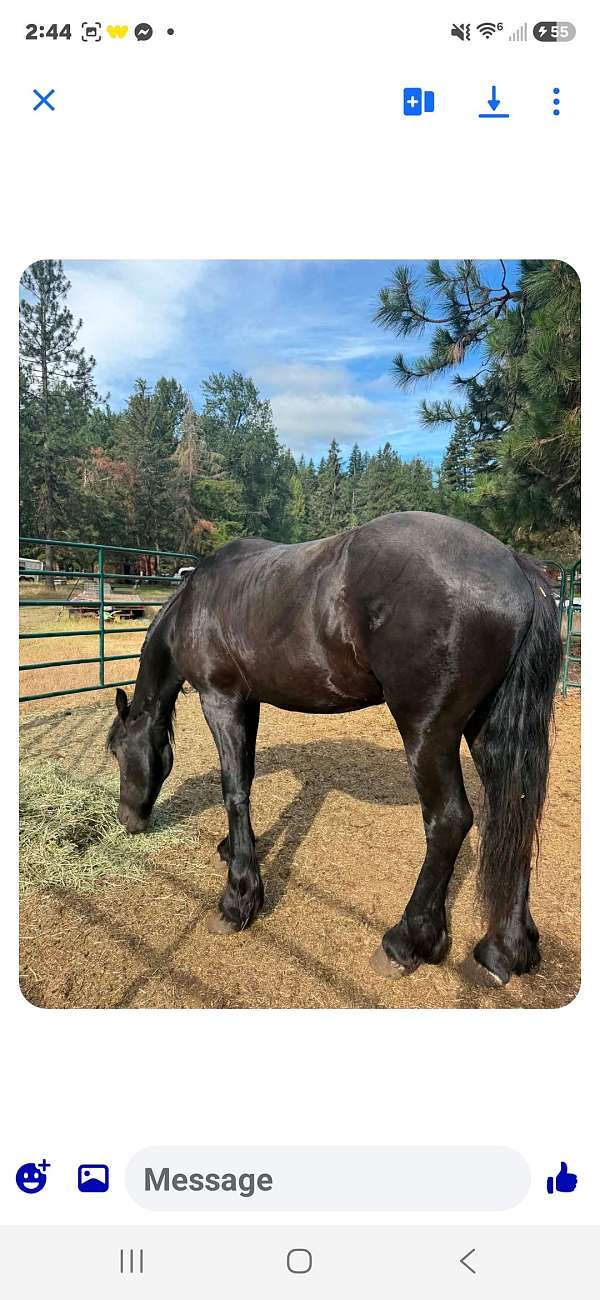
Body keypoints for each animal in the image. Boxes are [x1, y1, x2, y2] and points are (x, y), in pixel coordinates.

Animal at [107, 511, 562, 987]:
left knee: (450, 821)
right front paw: (233, 850)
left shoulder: (220, 700)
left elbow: (234, 791)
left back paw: (407, 941)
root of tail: (516, 569)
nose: (127, 820)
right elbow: (246, 774)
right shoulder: (249, 702)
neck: (197, 603)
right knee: (514, 811)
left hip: (427, 732)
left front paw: (238, 900)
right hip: (487, 730)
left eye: (117, 750)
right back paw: (503, 951)